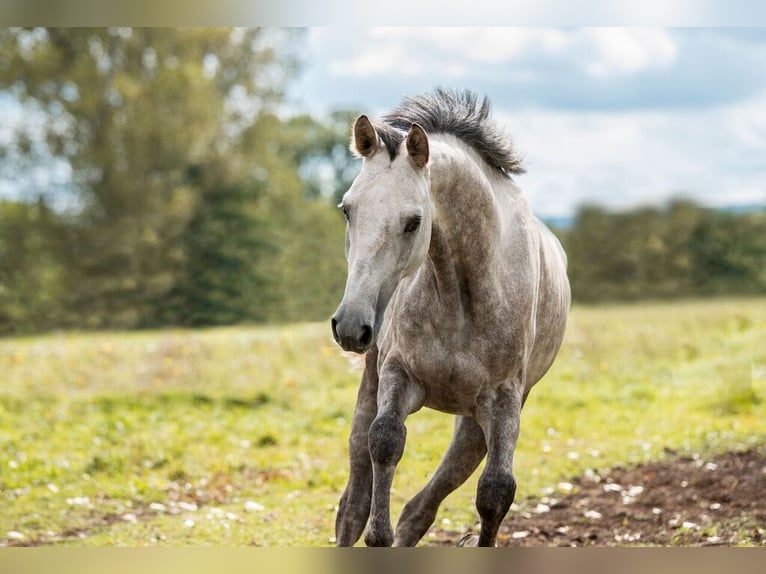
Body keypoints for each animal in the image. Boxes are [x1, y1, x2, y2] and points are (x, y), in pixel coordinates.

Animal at [330, 88, 571, 547]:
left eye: (414, 222)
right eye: (347, 210)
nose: (351, 326)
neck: (462, 294)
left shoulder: (504, 399)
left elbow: (496, 491)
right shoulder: (398, 374)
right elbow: (384, 443)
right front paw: (378, 535)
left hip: (475, 425)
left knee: (424, 505)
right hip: (371, 384)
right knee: (352, 502)